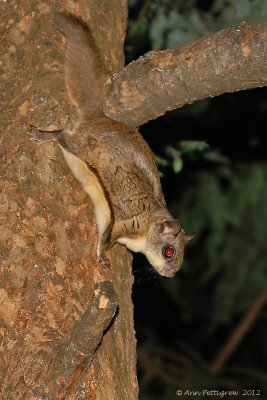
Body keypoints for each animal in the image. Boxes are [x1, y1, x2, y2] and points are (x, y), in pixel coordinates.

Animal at [28, 11, 193, 276]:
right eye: (170, 252)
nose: (170, 274)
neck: (149, 225)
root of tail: (97, 117)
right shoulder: (126, 223)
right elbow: (106, 238)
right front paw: (102, 256)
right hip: (81, 145)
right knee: (63, 135)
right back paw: (45, 135)